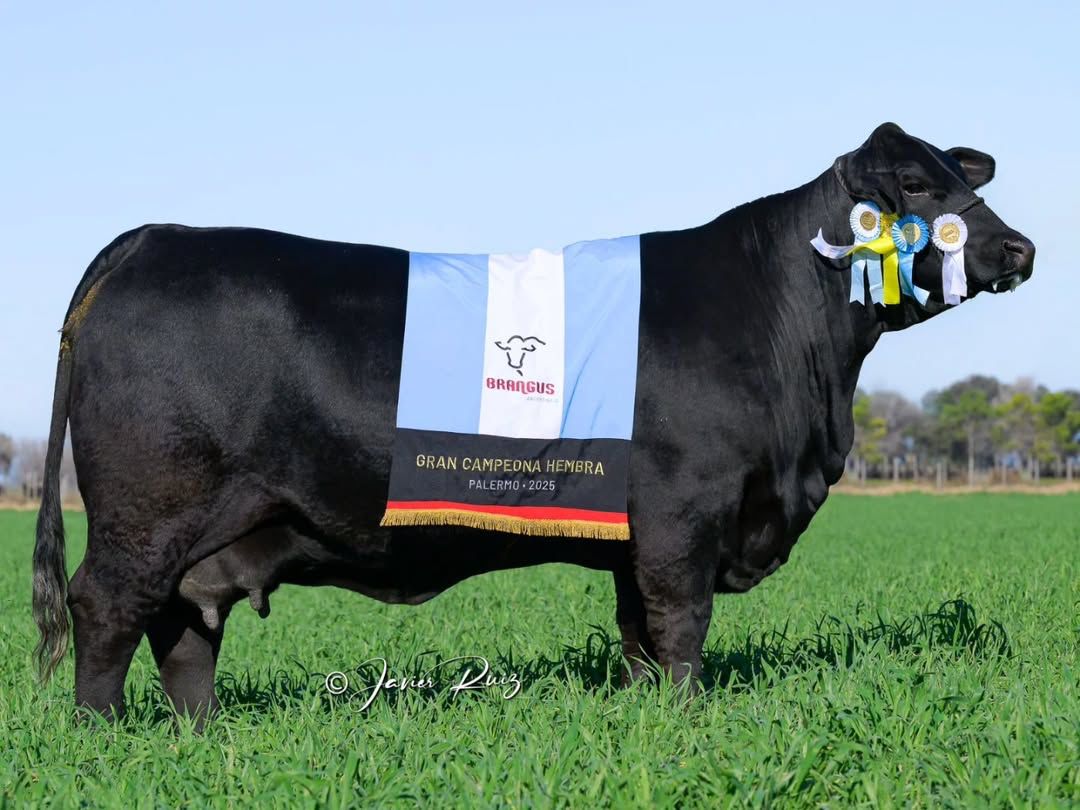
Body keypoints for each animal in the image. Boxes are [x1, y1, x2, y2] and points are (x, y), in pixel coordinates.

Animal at [32, 123, 1034, 725]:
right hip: (147, 509)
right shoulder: (685, 512)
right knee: (108, 608)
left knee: (184, 630)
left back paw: (197, 735)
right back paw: (103, 736)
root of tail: (153, 238)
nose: (1017, 248)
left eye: (965, 178)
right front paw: (685, 720)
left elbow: (637, 633)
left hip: (205, 533)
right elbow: (680, 625)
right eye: (913, 183)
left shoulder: (637, 533)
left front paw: (644, 719)